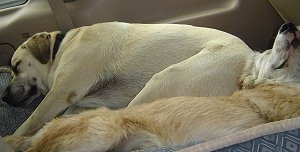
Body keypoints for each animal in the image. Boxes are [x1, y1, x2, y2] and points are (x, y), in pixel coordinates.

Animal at [4, 22, 300, 152]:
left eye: (16, 66)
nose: (4, 97)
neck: (62, 46)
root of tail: (250, 58)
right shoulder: (80, 104)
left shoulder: (60, 93)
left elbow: (31, 122)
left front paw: (17, 137)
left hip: (162, 79)